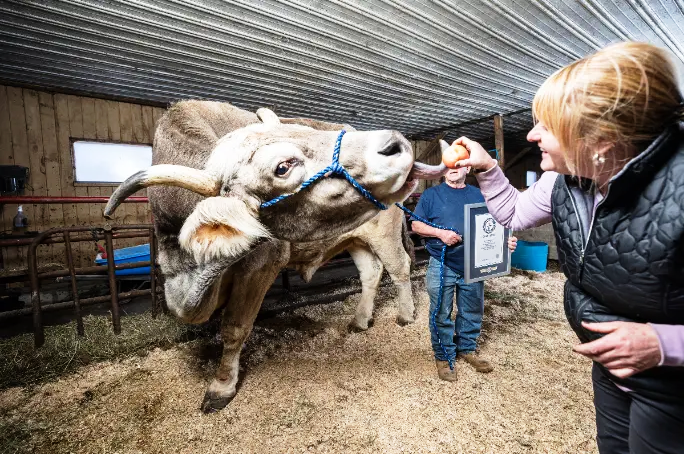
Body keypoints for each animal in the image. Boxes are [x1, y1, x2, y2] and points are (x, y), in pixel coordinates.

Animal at [104, 101, 446, 414]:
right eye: (282, 167)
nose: (394, 143)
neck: (191, 273)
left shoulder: (261, 264)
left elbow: (234, 328)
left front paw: (221, 387)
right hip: (355, 239)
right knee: (371, 272)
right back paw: (360, 320)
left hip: (385, 235)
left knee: (399, 268)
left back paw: (405, 315)